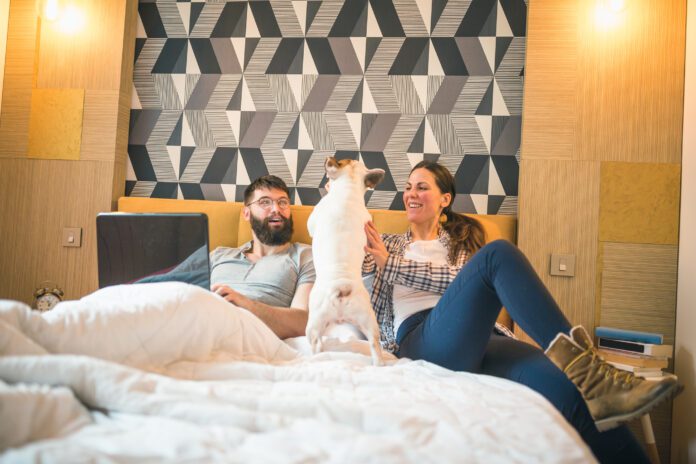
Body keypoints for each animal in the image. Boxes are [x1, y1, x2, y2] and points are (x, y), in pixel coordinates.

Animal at [306, 158, 386, 368]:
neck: (348, 189)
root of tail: (341, 287)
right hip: (368, 321)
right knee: (375, 344)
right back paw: (379, 364)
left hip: (314, 322)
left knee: (315, 342)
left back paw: (316, 357)